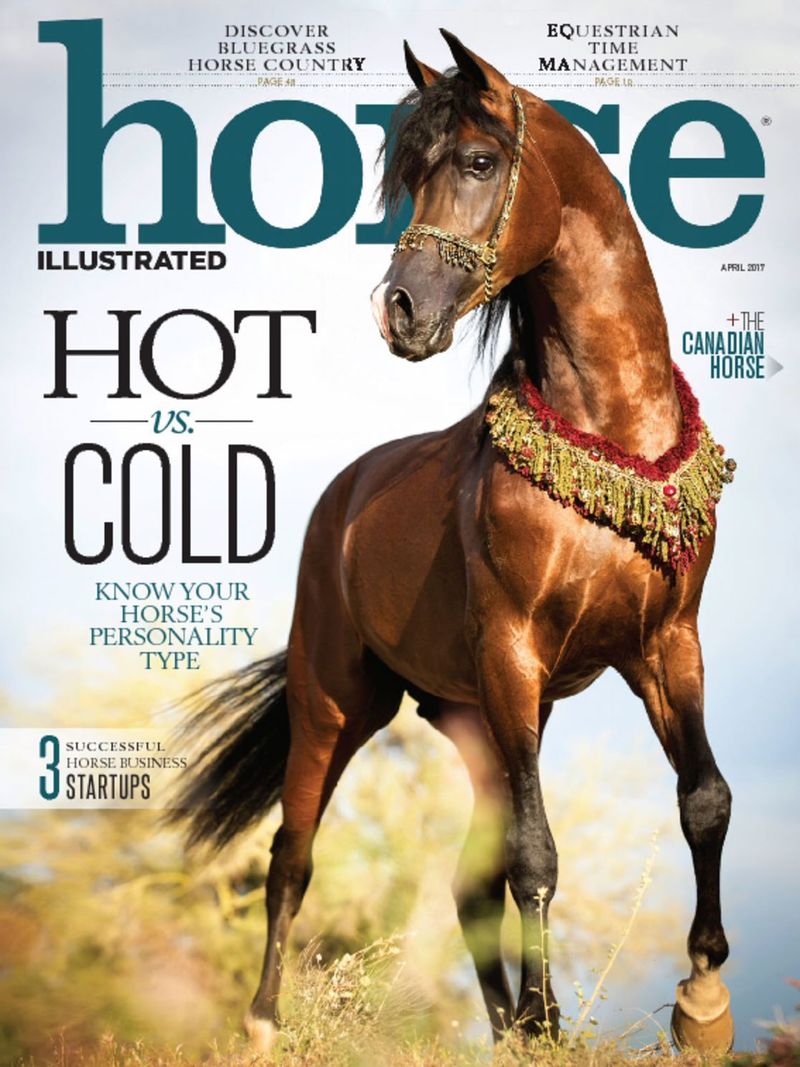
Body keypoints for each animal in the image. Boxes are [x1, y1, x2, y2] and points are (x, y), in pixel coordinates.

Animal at [171, 30, 737, 1055]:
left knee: (467, 881)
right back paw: (265, 1023)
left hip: (476, 721)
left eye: (477, 162)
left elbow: (703, 799)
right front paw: (554, 1029)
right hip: (337, 699)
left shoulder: (666, 643)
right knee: (292, 855)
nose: (398, 309)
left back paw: (508, 1023)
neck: (613, 435)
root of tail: (342, 499)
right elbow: (537, 853)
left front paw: (700, 1003)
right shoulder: (515, 650)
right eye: (409, 177)